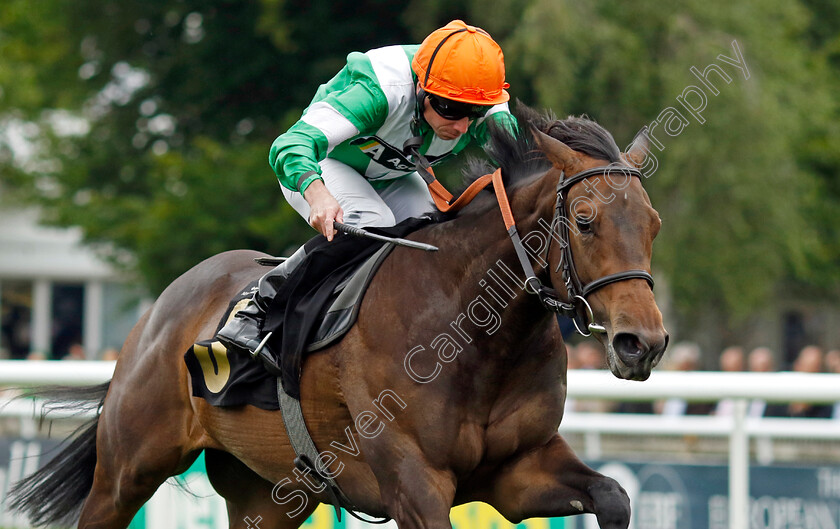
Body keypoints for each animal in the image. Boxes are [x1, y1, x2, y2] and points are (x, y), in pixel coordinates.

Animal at [6, 105, 668, 524]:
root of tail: (159, 312)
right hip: (129, 468)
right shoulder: (415, 482)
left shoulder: (517, 470)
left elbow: (614, 496)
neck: (474, 333)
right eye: (584, 219)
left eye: (654, 224)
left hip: (266, 493)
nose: (644, 343)